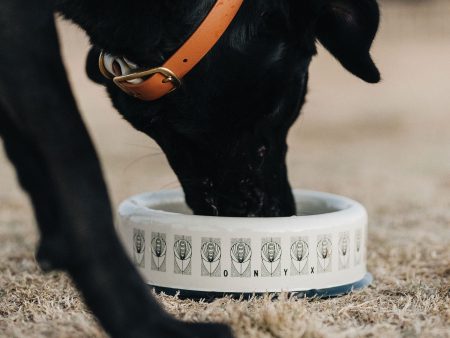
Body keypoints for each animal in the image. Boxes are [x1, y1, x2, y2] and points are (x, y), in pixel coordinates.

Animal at [0, 0, 380, 336]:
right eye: (281, 109)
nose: (283, 212)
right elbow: (79, 171)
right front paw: (147, 325)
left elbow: (32, 164)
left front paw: (55, 247)